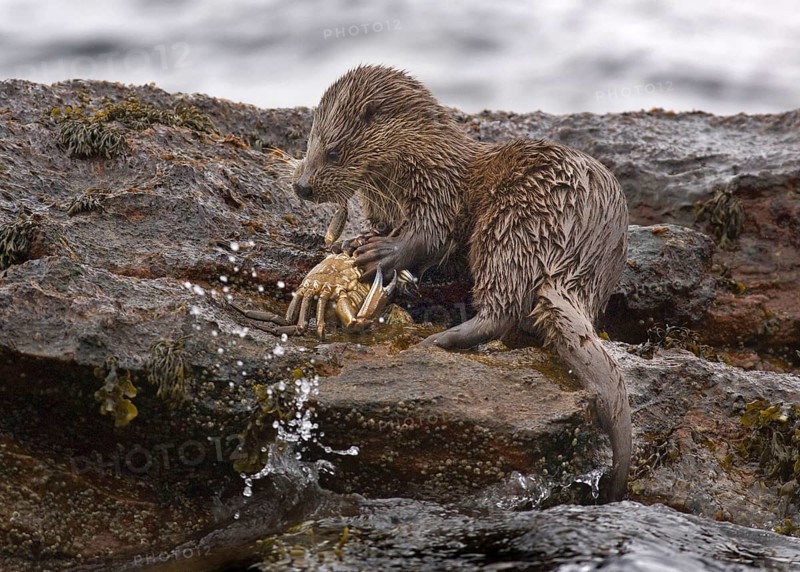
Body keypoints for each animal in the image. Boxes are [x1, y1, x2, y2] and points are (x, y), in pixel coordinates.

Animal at [291, 65, 631, 501]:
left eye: (333, 151)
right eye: (310, 144)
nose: (302, 186)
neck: (416, 157)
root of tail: (578, 257)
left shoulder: (437, 186)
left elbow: (431, 234)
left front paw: (382, 252)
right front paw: (353, 242)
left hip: (513, 222)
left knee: (502, 308)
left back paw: (437, 341)